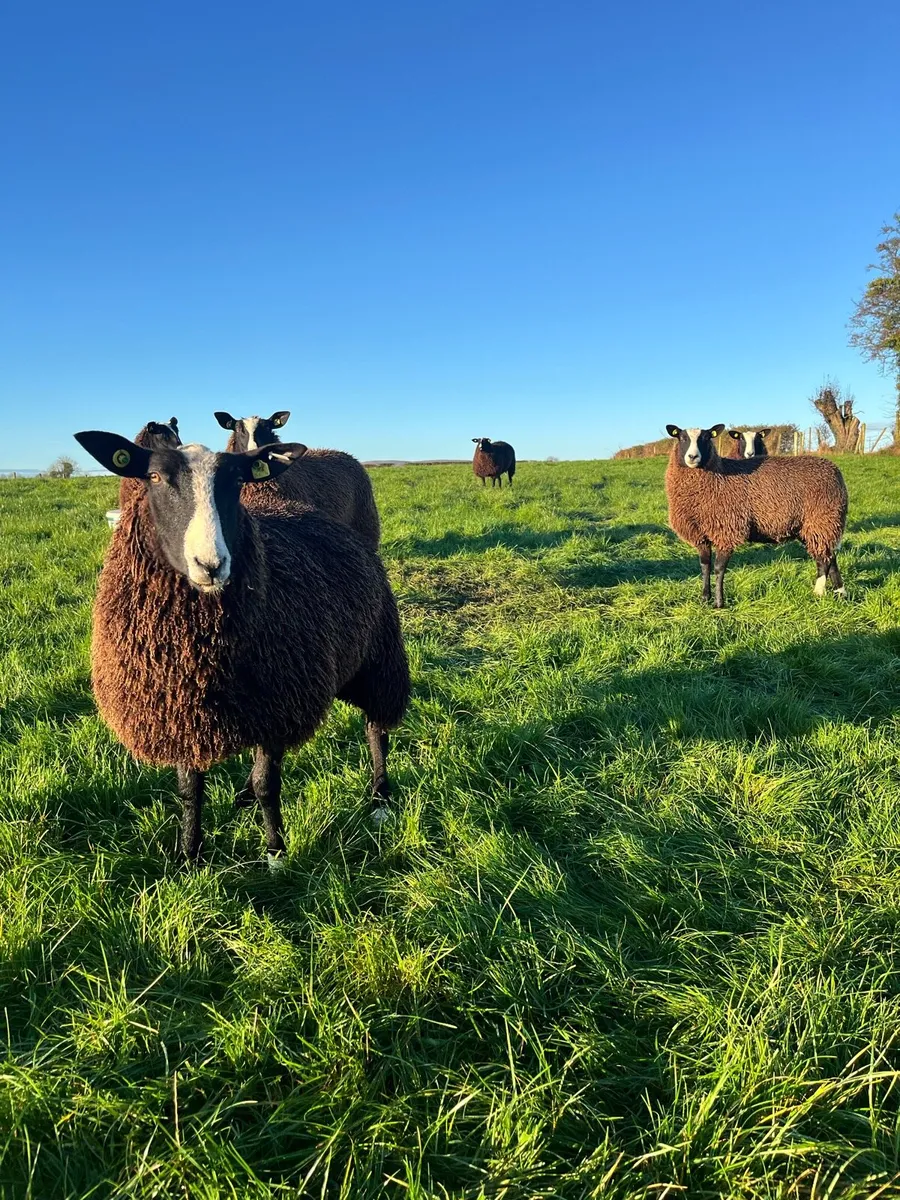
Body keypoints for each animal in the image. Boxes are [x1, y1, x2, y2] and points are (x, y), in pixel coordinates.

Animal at [73, 429, 410, 863]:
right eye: (154, 477)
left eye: (235, 481)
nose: (211, 565)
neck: (197, 654)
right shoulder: (182, 714)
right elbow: (190, 790)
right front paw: (189, 853)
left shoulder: (277, 707)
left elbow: (270, 786)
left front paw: (275, 853)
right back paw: (245, 794)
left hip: (377, 657)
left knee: (376, 727)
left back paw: (380, 796)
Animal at [665, 423, 847, 608]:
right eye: (681, 438)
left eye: (707, 437)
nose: (693, 456)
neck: (718, 476)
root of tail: (835, 471)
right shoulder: (700, 535)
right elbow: (705, 566)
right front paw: (704, 599)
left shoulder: (727, 530)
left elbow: (719, 568)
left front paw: (719, 603)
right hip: (813, 527)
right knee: (830, 556)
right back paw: (841, 593)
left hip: (821, 520)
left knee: (824, 561)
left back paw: (818, 593)